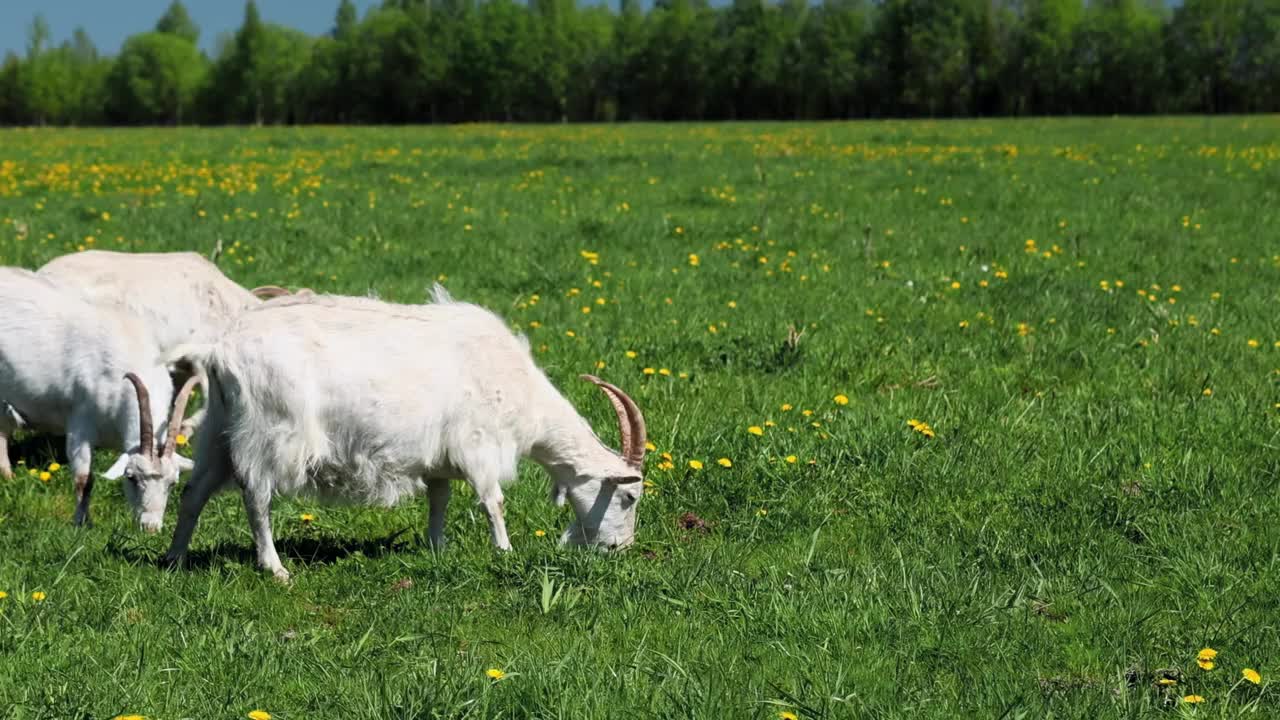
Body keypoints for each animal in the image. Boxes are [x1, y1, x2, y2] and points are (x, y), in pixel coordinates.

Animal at [0, 267, 198, 527]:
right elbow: (84, 479)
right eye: (131, 478)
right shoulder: (79, 424)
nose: (150, 528)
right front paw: (81, 523)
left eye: (172, 483)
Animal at [162, 284, 650, 576]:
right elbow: (493, 501)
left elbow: (439, 500)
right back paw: (274, 567)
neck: (515, 383)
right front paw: (505, 551)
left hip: (218, 430)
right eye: (629, 496)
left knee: (195, 492)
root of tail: (220, 352)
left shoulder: (440, 456)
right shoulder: (478, 444)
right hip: (269, 432)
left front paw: (438, 549)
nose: (619, 550)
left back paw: (173, 557)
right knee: (257, 495)